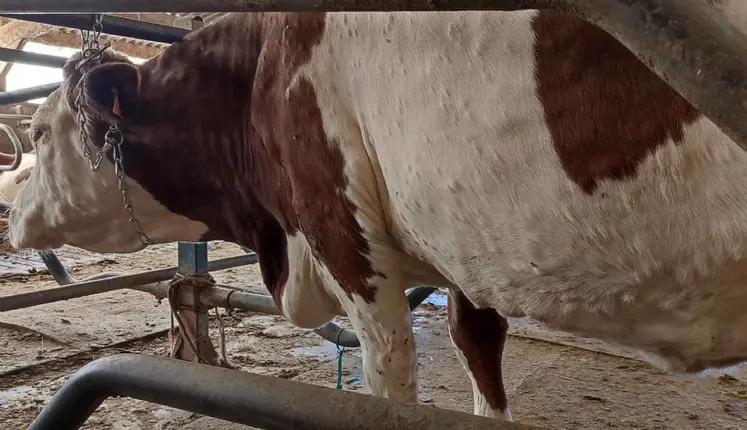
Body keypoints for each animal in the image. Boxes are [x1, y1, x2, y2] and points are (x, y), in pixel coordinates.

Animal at [7, 4, 747, 421]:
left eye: (38, 133)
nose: (9, 213)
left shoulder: (343, 233)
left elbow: (389, 373)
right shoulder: (465, 251)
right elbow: (478, 354)